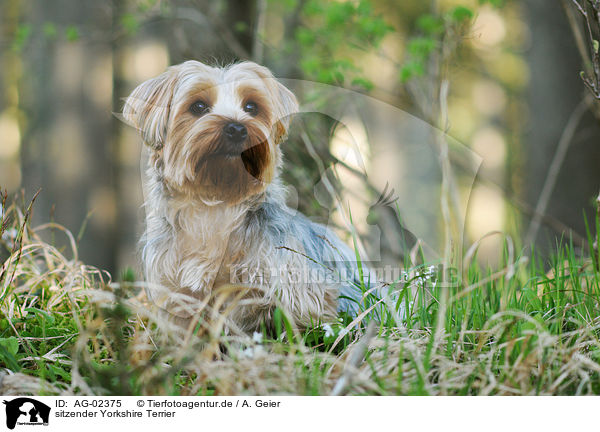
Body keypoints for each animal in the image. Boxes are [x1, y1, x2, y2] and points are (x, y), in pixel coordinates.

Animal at [123, 60, 380, 332]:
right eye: (198, 106)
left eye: (251, 107)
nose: (237, 128)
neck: (216, 202)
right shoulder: (176, 291)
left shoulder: (294, 288)